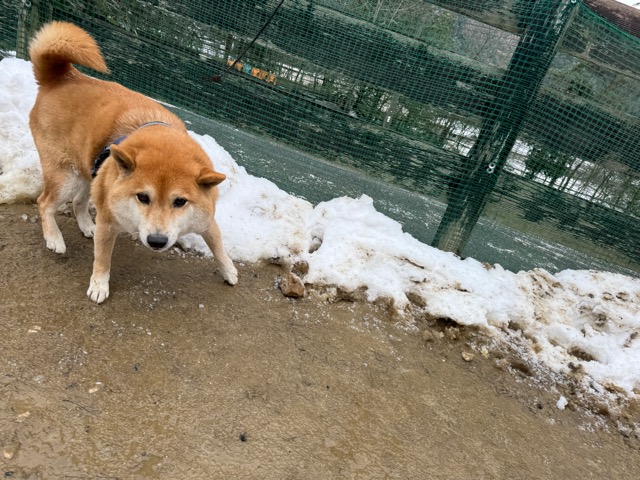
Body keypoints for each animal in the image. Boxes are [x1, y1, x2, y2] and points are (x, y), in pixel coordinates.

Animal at [28, 21, 238, 303]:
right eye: (142, 197)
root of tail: (61, 77)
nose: (157, 241)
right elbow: (102, 259)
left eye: (180, 202)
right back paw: (54, 239)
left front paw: (229, 270)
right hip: (67, 178)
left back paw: (87, 226)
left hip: (89, 175)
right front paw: (99, 285)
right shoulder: (108, 220)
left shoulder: (205, 220)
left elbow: (217, 244)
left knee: (78, 202)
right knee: (44, 203)